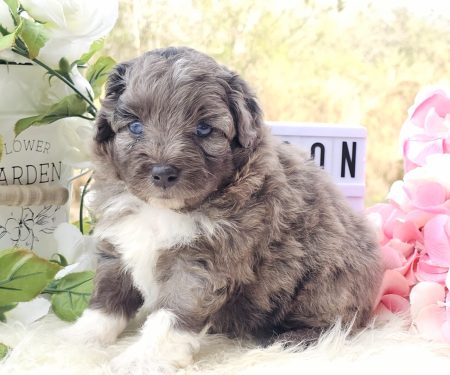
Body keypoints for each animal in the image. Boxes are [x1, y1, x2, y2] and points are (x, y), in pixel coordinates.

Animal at [70, 46, 384, 374]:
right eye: (135, 126)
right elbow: (107, 298)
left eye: (204, 129)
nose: (163, 173)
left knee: (337, 325)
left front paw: (144, 357)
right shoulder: (118, 243)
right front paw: (82, 338)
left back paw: (291, 339)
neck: (163, 210)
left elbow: (172, 315)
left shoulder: (202, 261)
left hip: (329, 286)